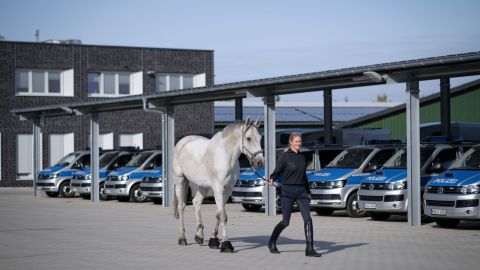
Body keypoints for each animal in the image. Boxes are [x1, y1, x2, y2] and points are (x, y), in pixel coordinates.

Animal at [172, 116, 264, 253]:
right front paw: (226, 244)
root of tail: (182, 142)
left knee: (196, 202)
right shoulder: (218, 189)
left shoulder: (227, 190)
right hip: (181, 181)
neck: (226, 156)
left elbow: (218, 214)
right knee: (181, 207)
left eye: (260, 138)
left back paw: (199, 236)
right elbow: (223, 216)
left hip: (203, 186)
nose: (259, 162)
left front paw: (214, 241)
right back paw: (182, 238)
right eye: (248, 138)